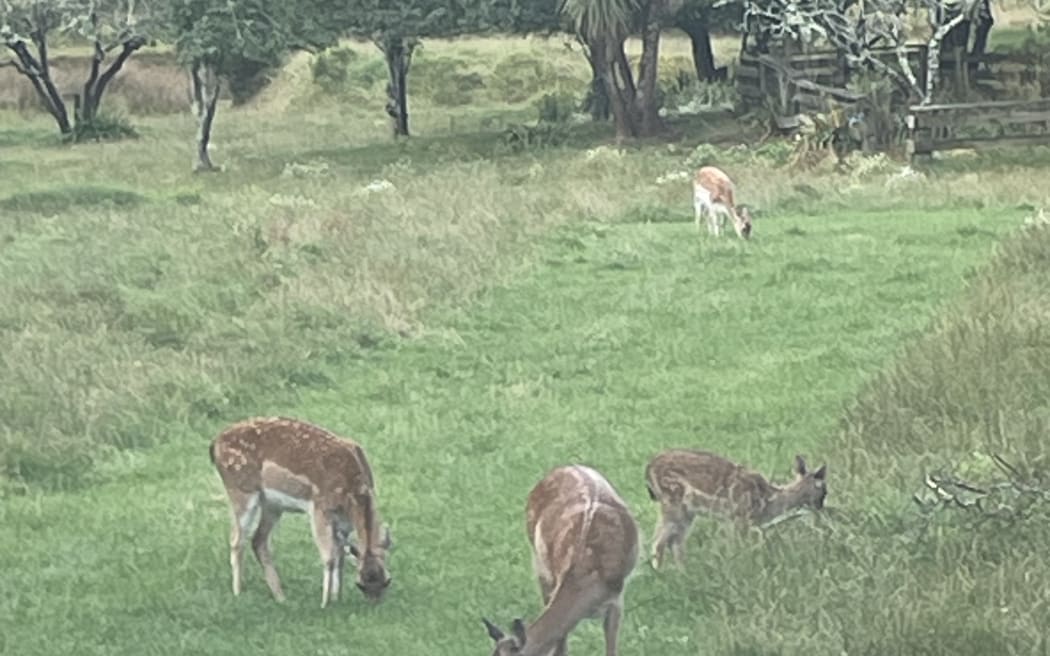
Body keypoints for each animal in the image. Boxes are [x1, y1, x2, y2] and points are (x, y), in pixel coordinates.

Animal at [208, 416, 392, 608]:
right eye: (360, 584)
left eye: (387, 581)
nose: (375, 602)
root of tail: (214, 444)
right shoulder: (319, 508)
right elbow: (329, 557)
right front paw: (325, 604)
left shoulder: (343, 522)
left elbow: (340, 556)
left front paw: (338, 598)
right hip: (241, 490)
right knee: (236, 540)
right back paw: (238, 593)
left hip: (273, 505)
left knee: (258, 540)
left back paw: (280, 597)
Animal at [645, 449, 827, 570]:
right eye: (825, 491)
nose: (820, 507)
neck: (767, 501)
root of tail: (648, 470)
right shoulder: (741, 516)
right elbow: (741, 546)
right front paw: (744, 566)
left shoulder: (732, 520)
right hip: (672, 501)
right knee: (659, 541)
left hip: (686, 511)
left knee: (674, 541)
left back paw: (683, 572)